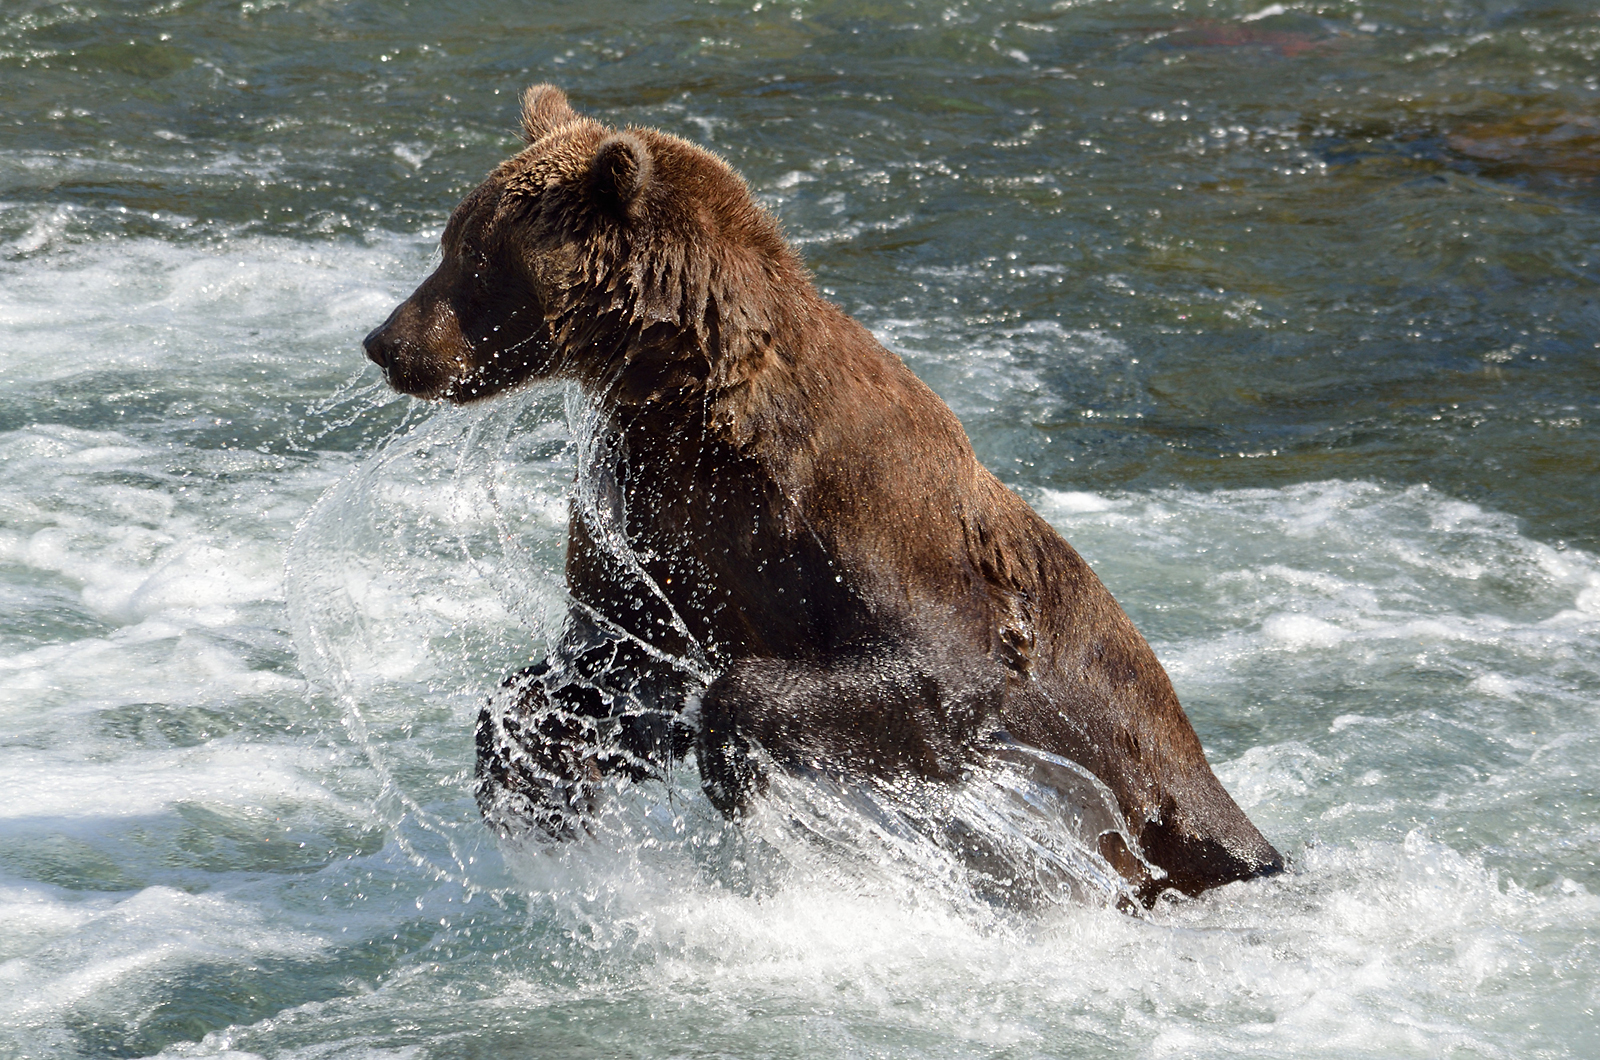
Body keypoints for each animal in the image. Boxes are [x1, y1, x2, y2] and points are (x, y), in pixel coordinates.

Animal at [362, 84, 1283, 903]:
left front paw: (739, 775)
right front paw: (536, 784)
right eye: (453, 237)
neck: (693, 401)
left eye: (475, 255)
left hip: (1150, 788)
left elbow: (937, 663)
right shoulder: (662, 520)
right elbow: (617, 666)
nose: (384, 342)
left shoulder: (851, 506)